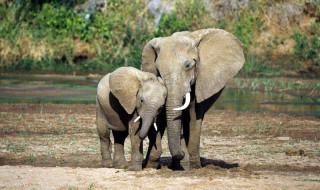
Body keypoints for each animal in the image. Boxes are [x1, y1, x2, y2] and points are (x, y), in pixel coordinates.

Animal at [141, 28, 244, 169]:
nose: (181, 152)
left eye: (188, 65)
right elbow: (161, 116)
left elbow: (194, 114)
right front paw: (152, 164)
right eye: (158, 70)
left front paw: (191, 166)